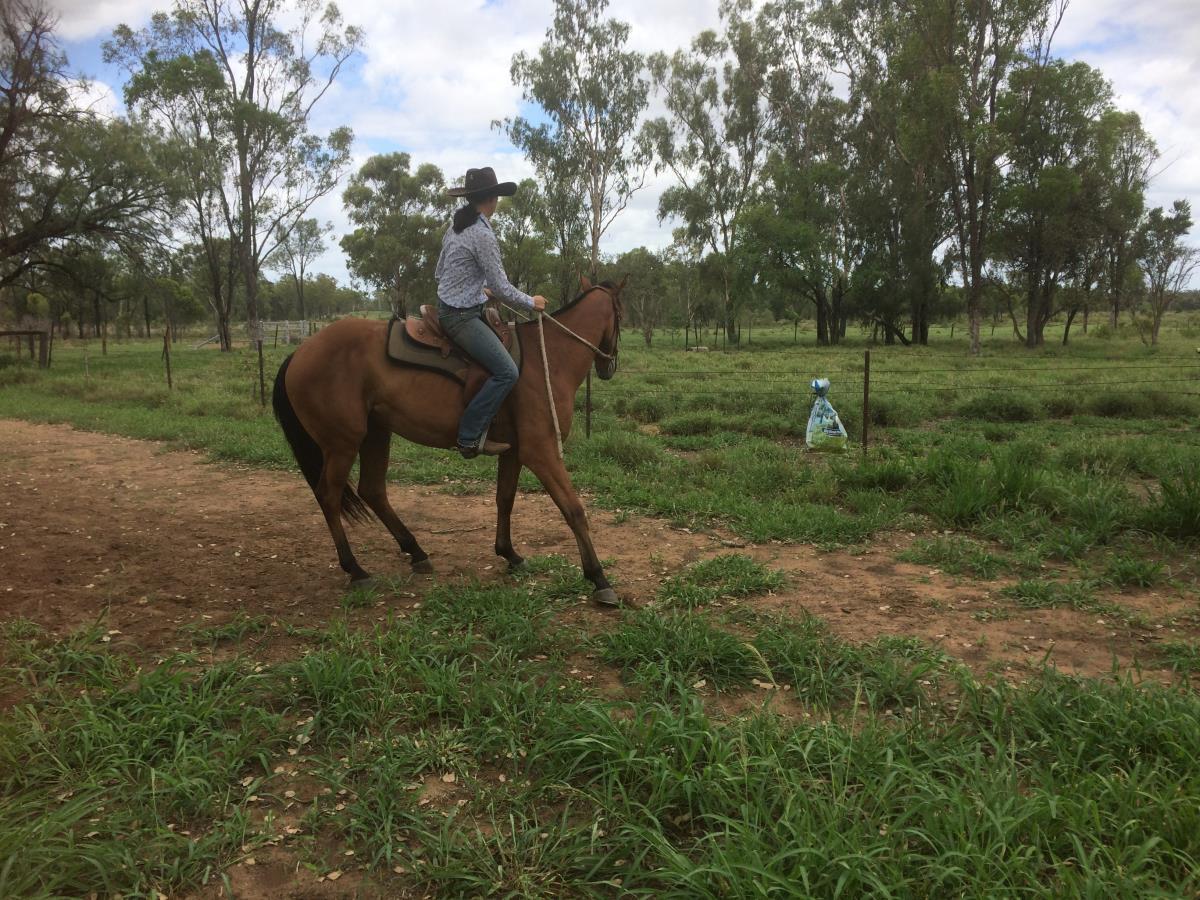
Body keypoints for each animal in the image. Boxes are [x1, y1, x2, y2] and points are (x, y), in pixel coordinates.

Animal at [270, 276, 624, 606]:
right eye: (621, 314)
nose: (609, 366)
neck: (547, 356)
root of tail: (299, 352)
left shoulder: (514, 452)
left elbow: (505, 499)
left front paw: (509, 553)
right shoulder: (541, 451)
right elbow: (573, 509)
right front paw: (599, 578)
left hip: (376, 433)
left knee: (372, 490)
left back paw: (415, 551)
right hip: (342, 443)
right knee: (329, 496)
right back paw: (356, 570)